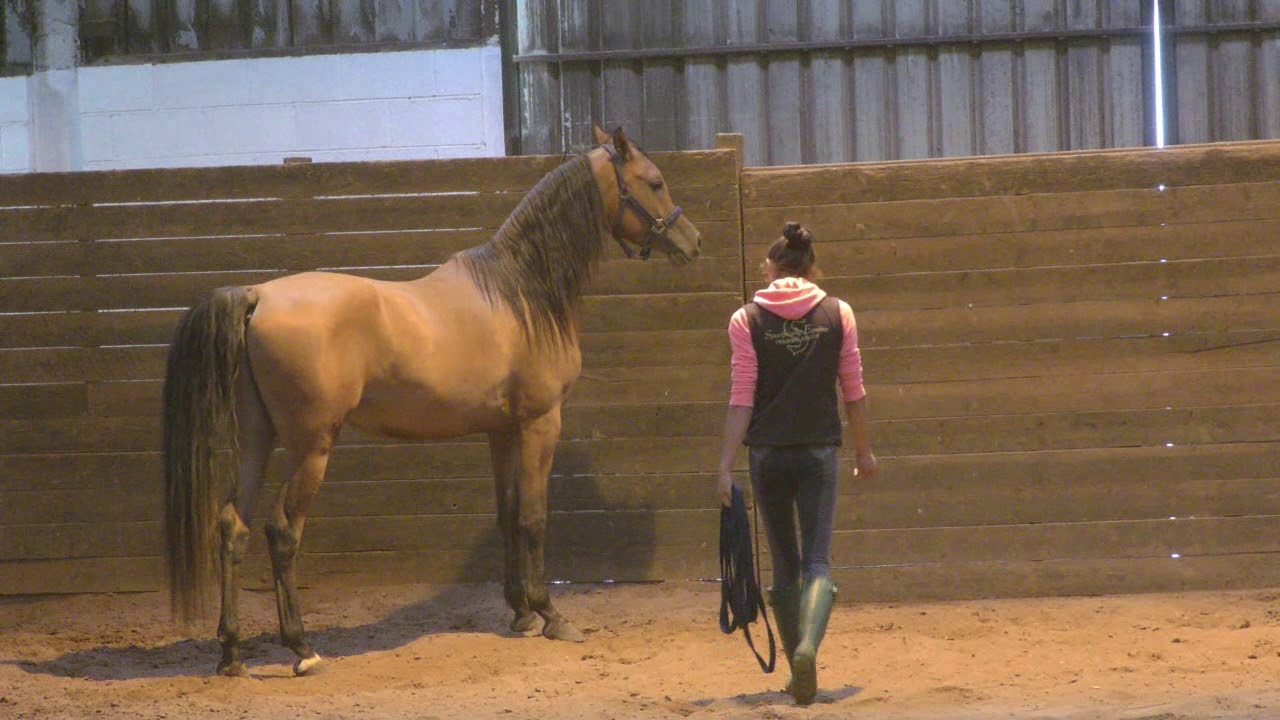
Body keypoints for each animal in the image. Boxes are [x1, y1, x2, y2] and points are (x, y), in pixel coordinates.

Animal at [162, 125, 703, 677]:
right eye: (655, 182)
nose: (692, 241)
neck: (521, 292)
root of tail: (258, 296)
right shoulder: (540, 423)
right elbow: (534, 518)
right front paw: (551, 615)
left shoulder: (500, 430)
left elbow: (509, 513)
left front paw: (521, 614)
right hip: (311, 447)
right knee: (281, 531)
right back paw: (302, 648)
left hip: (257, 439)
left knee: (233, 526)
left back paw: (231, 653)